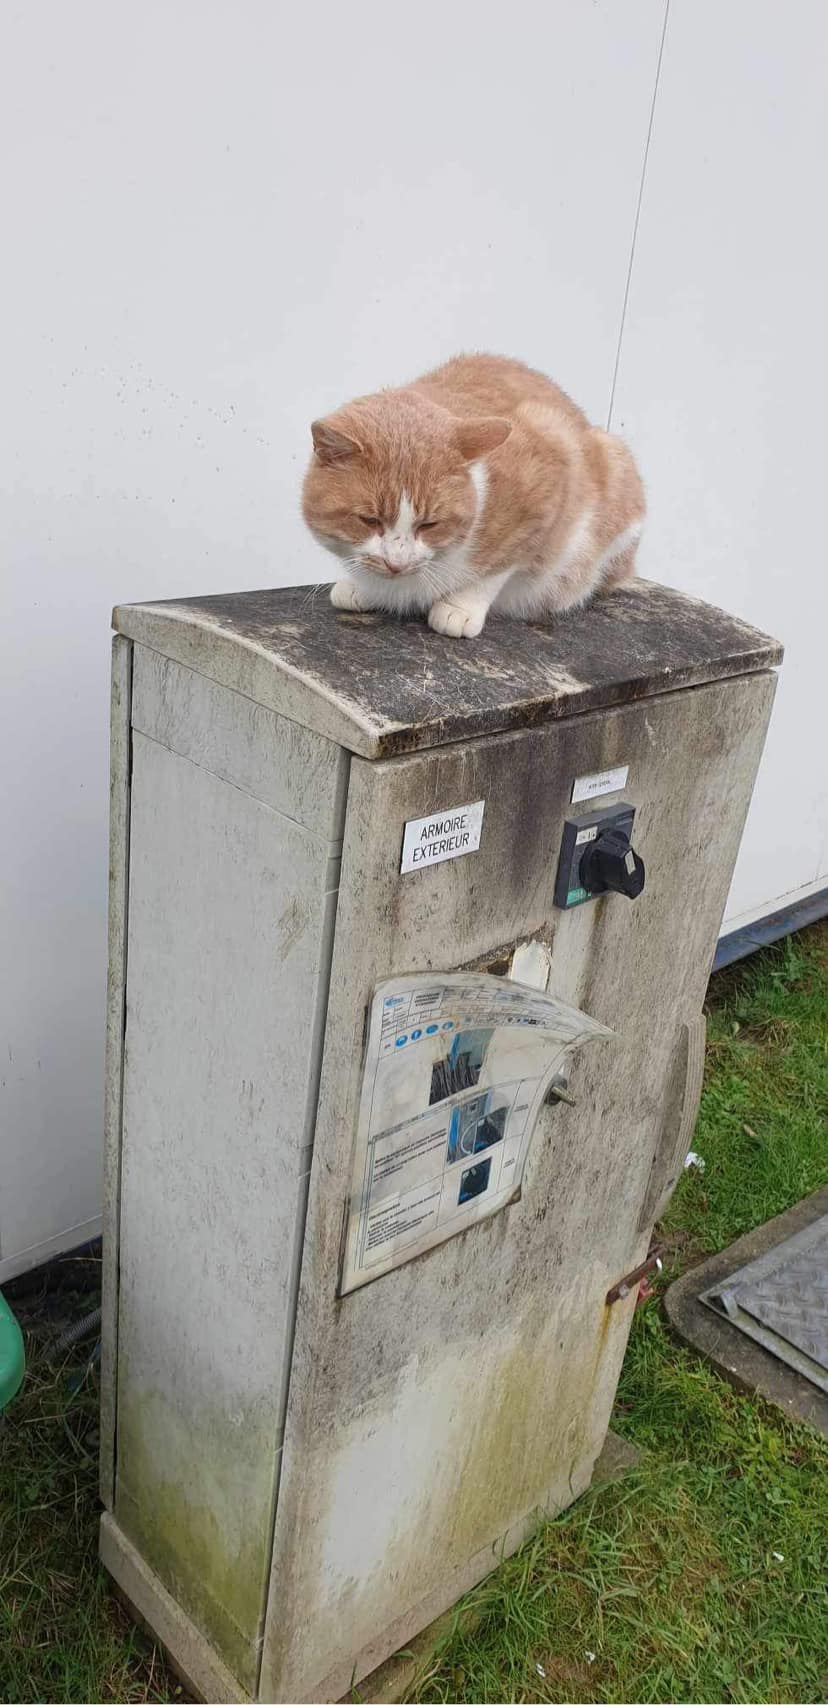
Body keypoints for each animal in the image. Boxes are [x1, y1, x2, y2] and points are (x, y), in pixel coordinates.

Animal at [303, 352, 647, 641]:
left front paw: (460, 607)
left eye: (429, 525)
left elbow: (498, 567)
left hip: (615, 468)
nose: (396, 564)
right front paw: (362, 586)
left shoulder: (549, 474)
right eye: (369, 520)